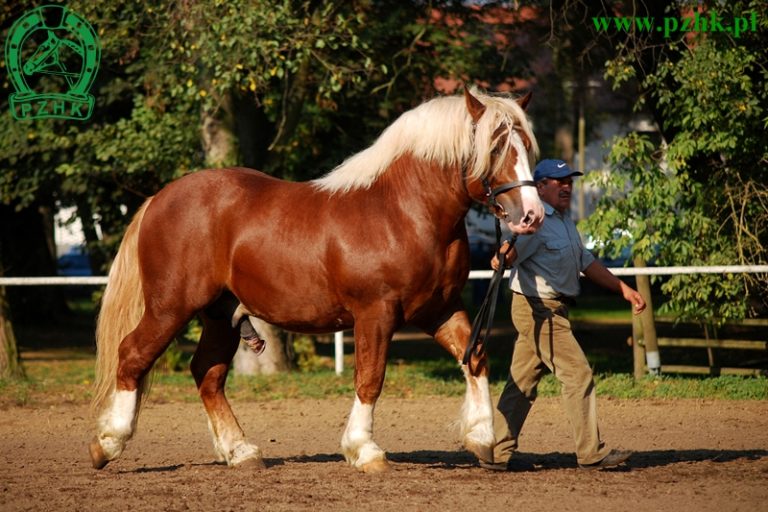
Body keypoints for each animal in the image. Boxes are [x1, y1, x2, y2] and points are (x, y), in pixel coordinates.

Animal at [90, 87, 544, 472]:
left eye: (526, 146)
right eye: (496, 147)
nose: (531, 215)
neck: (401, 211)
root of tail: (159, 199)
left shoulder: (441, 309)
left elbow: (476, 358)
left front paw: (483, 439)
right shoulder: (376, 314)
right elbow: (370, 377)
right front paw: (365, 450)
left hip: (220, 314)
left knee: (207, 373)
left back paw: (241, 452)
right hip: (171, 306)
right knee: (132, 355)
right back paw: (107, 443)